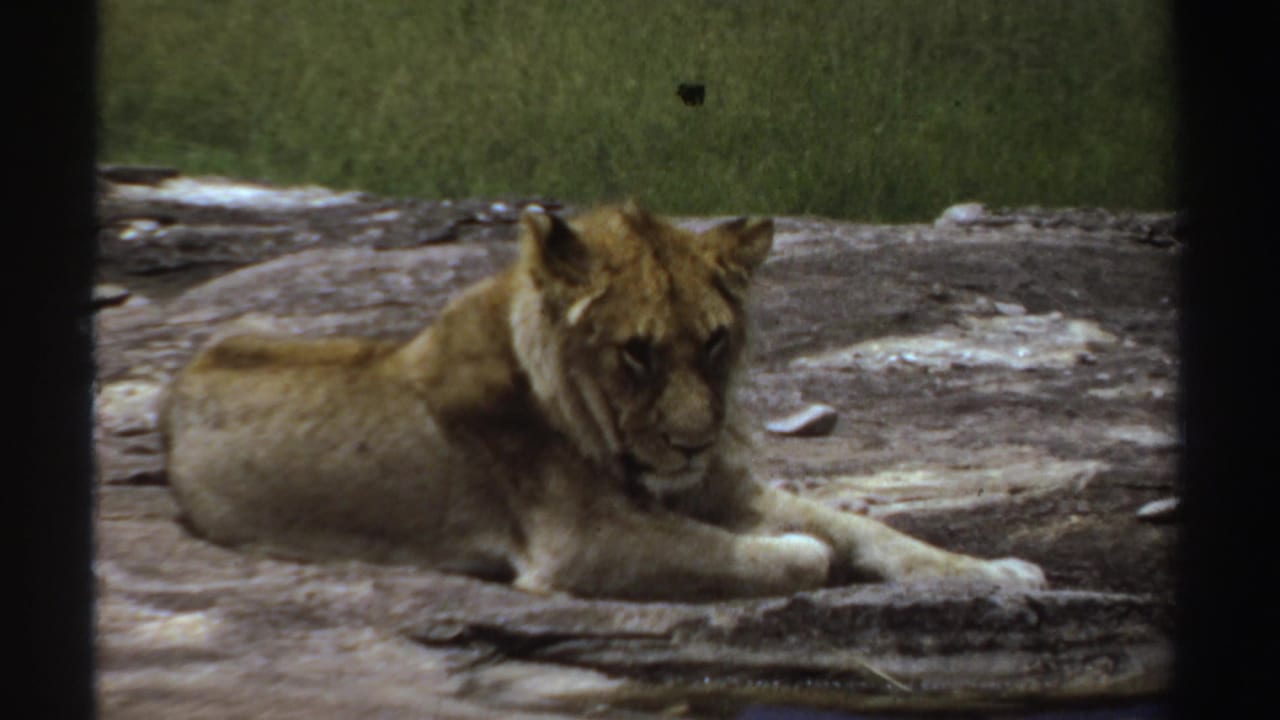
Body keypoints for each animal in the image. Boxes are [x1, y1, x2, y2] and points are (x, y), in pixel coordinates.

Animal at [161, 202, 1046, 600]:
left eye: (715, 342)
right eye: (636, 352)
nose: (693, 444)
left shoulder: (720, 486)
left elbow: (868, 526)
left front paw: (998, 571)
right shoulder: (580, 543)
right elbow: (768, 550)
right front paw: (796, 553)